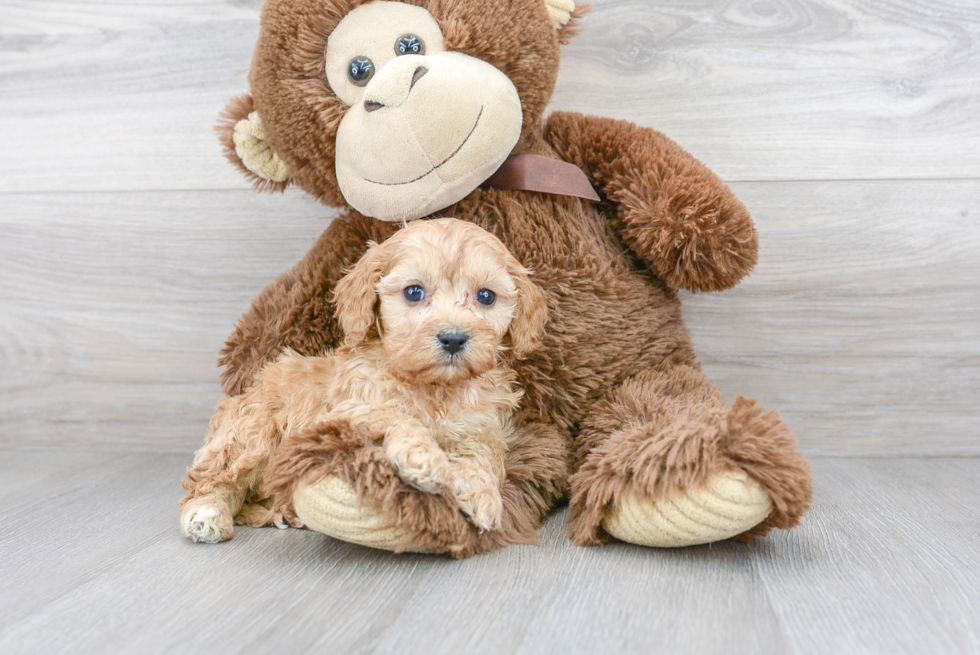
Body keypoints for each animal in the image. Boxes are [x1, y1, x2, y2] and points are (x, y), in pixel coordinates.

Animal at [180, 219, 548, 544]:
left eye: (486, 297)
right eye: (414, 292)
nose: (454, 338)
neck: (434, 387)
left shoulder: (483, 425)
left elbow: (482, 452)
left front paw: (481, 493)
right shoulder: (347, 409)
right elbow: (396, 414)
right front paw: (425, 460)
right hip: (251, 431)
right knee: (213, 480)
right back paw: (207, 514)